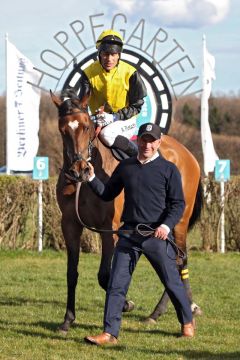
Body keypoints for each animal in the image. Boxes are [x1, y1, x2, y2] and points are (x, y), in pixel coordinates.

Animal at [50, 89, 202, 332]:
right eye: (63, 129)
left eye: (86, 126)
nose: (79, 169)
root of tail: (187, 154)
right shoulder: (70, 225)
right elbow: (72, 273)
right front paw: (67, 320)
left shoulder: (108, 228)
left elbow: (104, 275)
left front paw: (126, 304)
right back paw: (161, 312)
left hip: (179, 221)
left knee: (180, 259)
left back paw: (184, 307)